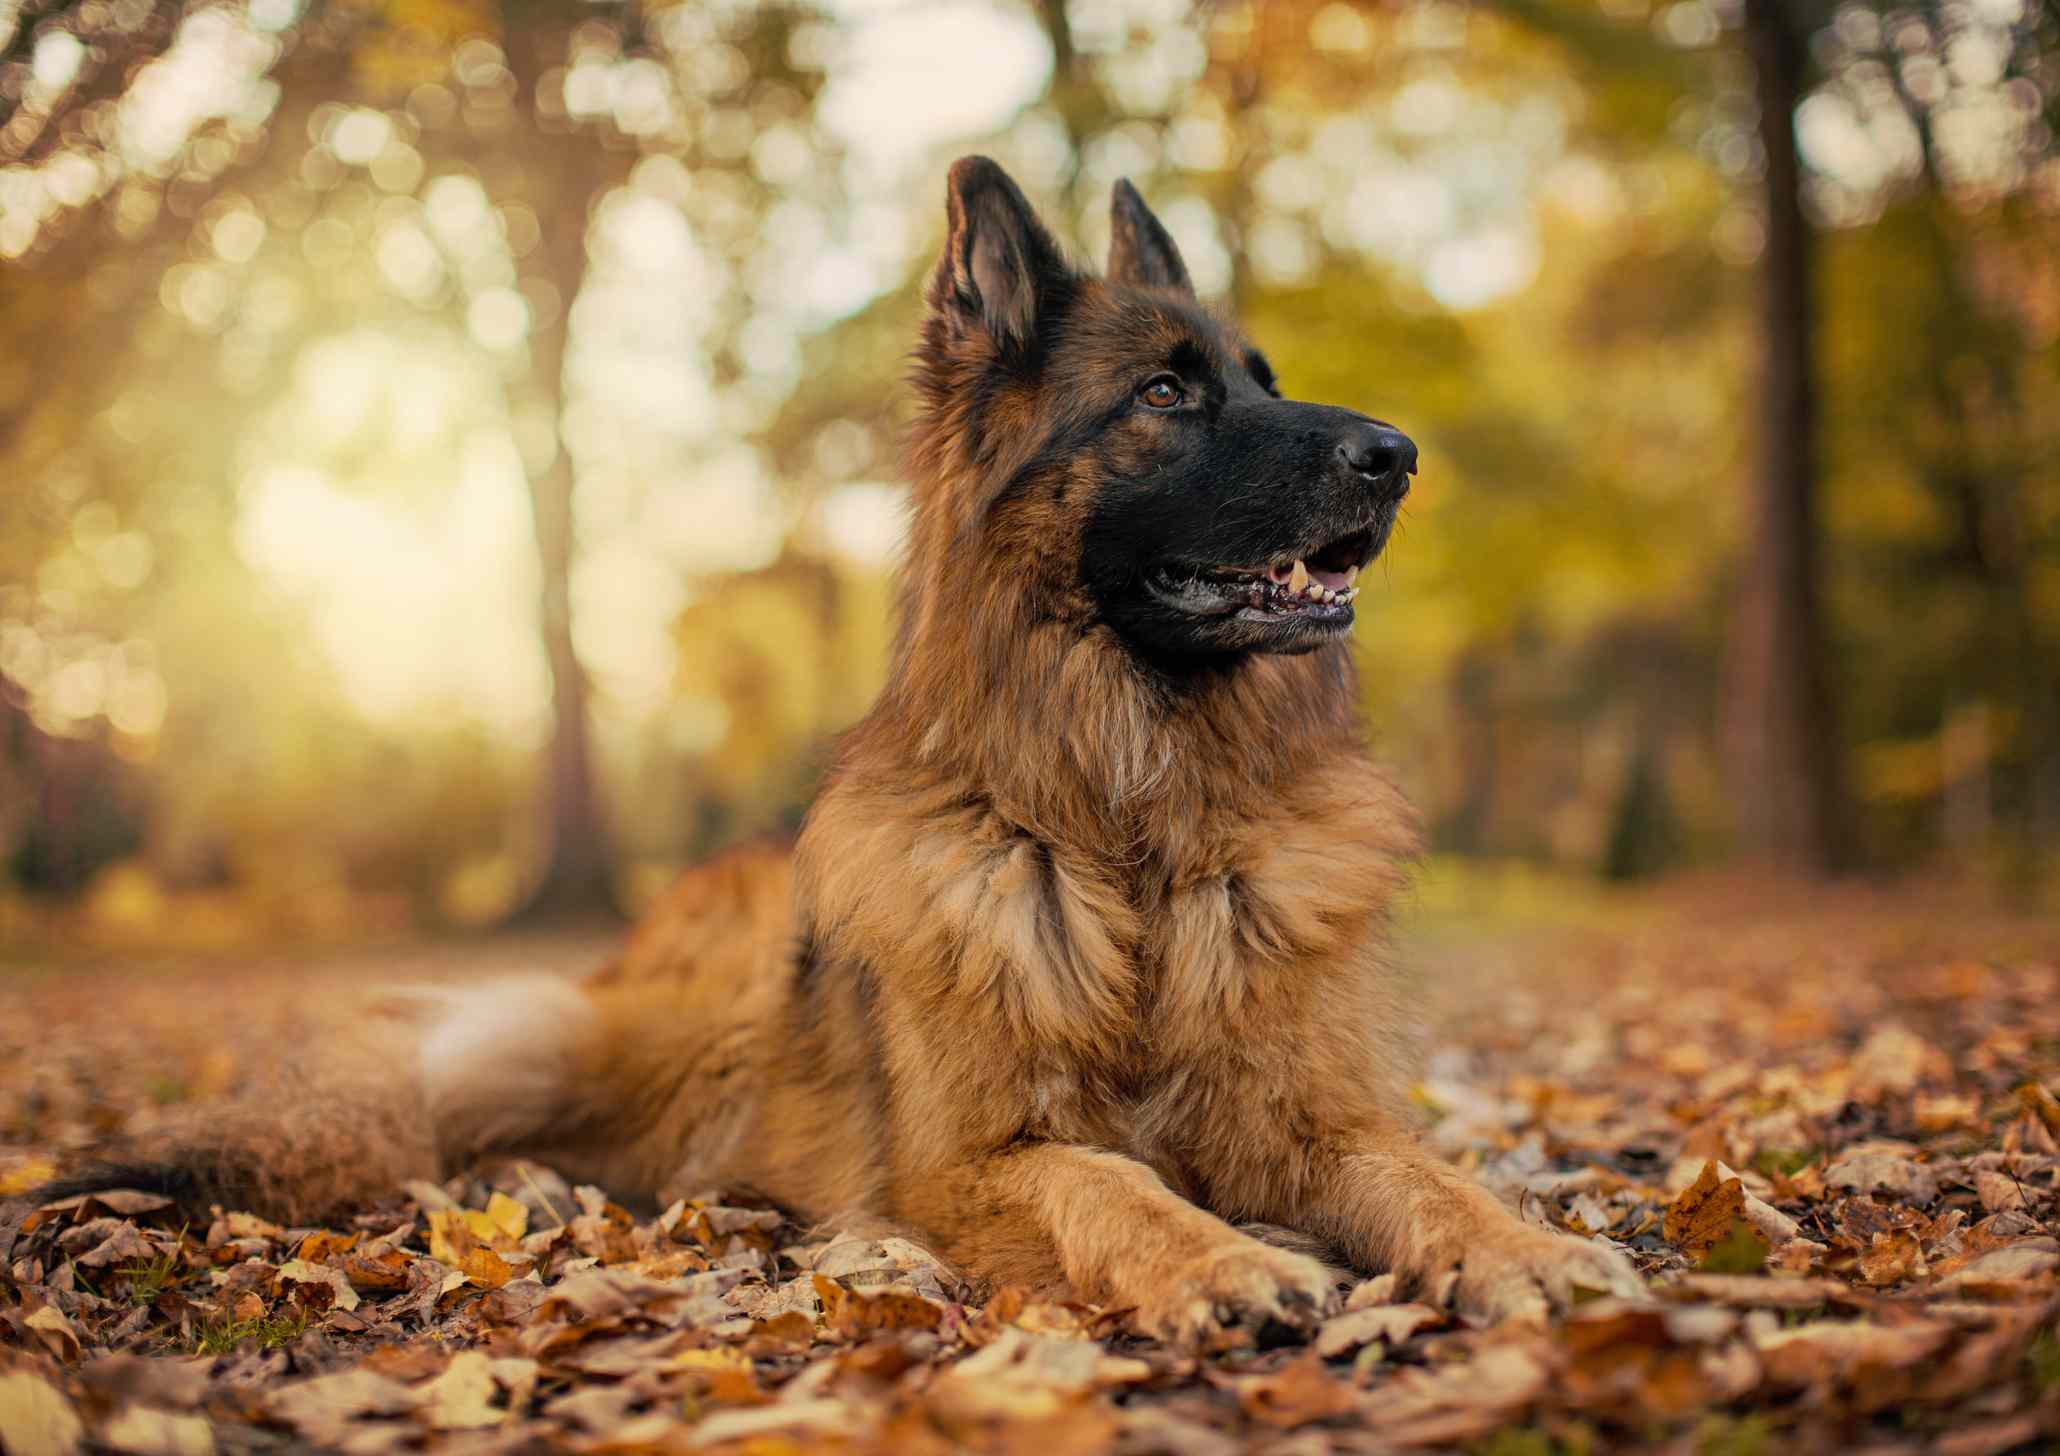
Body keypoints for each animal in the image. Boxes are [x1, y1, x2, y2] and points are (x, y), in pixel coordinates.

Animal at [44, 156, 1639, 1342]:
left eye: (1261, 376)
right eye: (1166, 394)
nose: (1398, 456)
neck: (1127, 824)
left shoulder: (1307, 1117)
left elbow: (1427, 1171)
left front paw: (1523, 1245)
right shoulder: (964, 1165)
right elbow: (1111, 1187)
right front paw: (1223, 1261)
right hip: (645, 1040)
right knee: (461, 1120)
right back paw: (536, 1197)